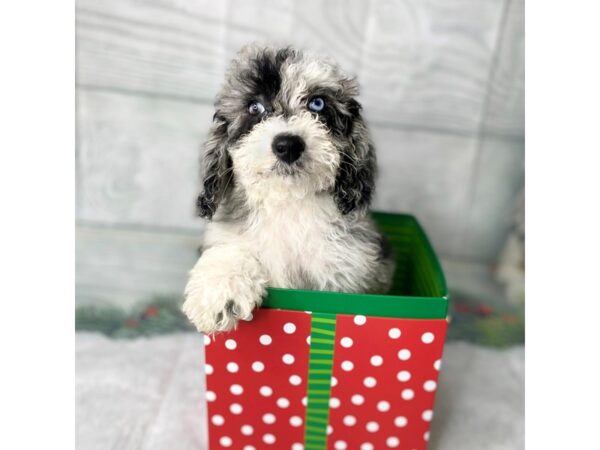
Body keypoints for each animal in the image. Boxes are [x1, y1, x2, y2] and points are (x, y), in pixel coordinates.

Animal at [185, 44, 396, 334]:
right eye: (255, 107)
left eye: (317, 103)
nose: (288, 145)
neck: (288, 203)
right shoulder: (229, 236)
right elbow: (230, 251)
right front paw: (220, 291)